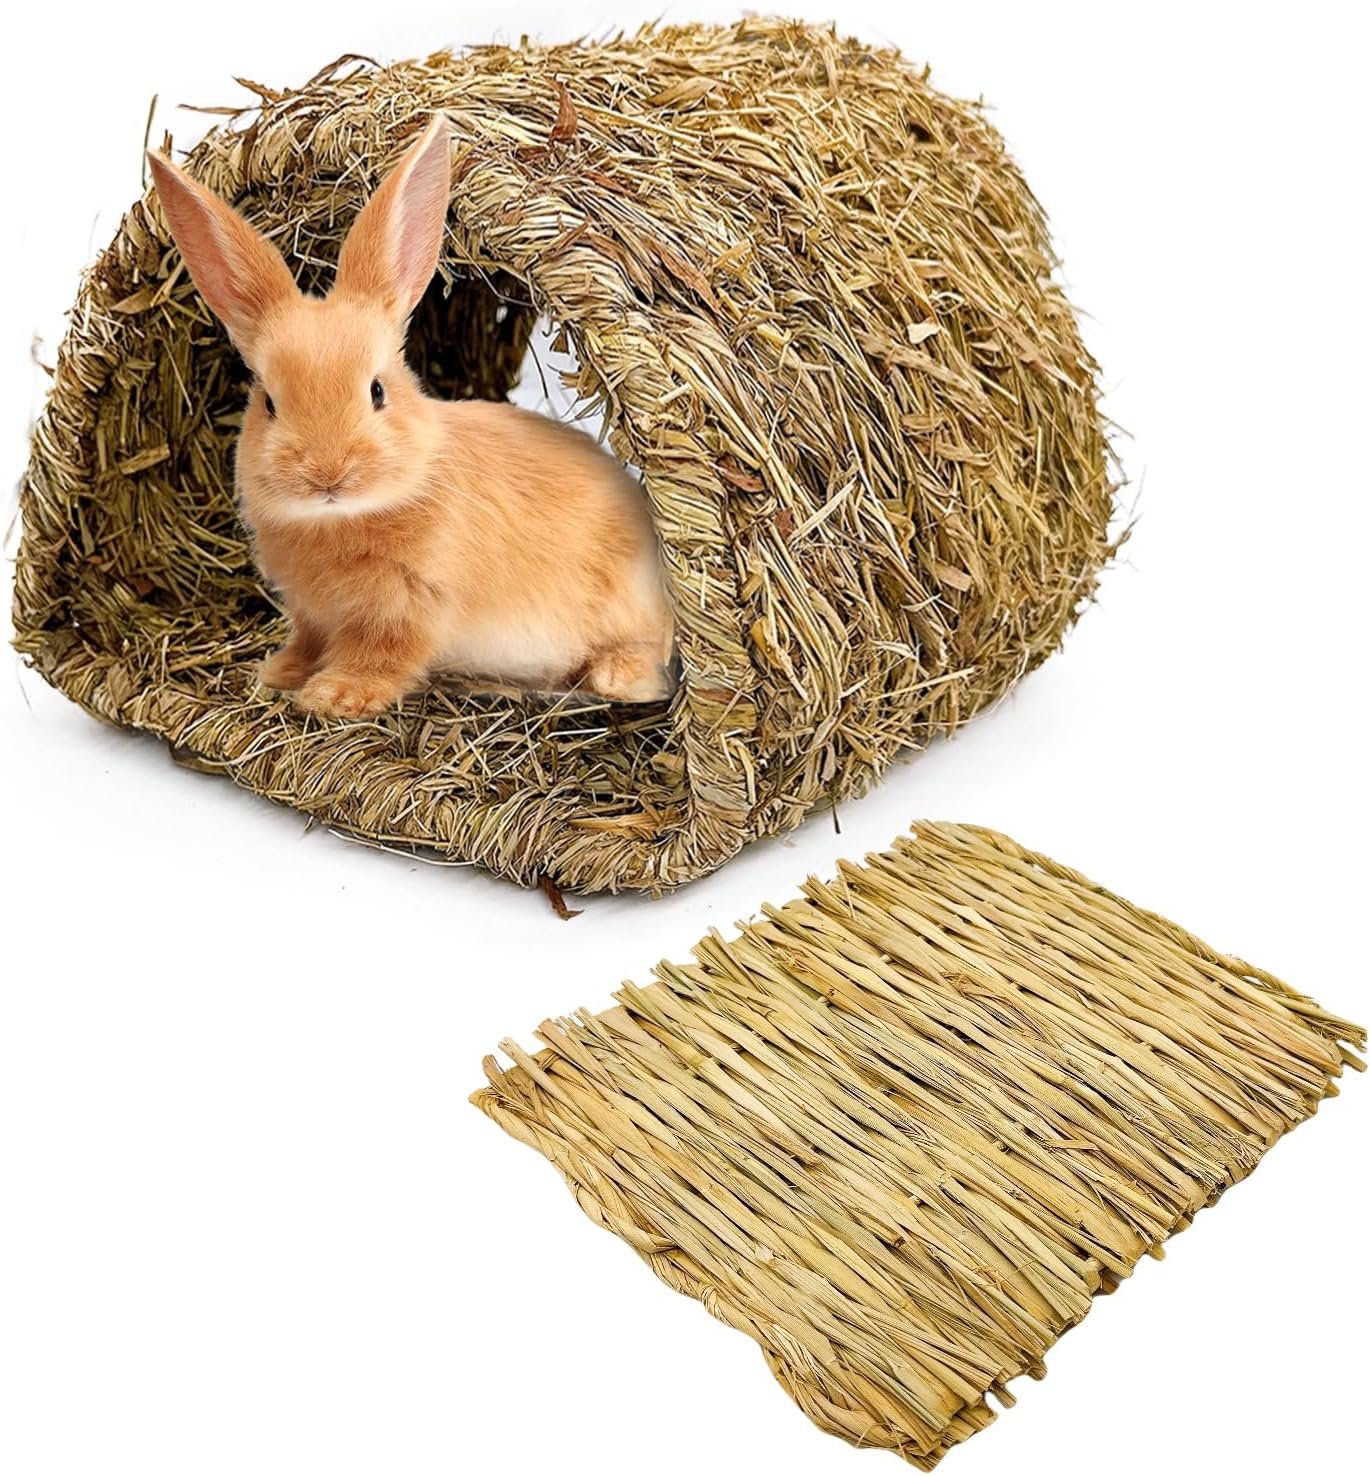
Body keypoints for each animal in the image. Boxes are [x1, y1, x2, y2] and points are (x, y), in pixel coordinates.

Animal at [145, 117, 676, 718]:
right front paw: (281, 672)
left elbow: (383, 653)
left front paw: (334, 695)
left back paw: (613, 678)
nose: (328, 475)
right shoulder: (311, 612)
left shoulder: (409, 604)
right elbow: (309, 639)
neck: (344, 517)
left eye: (378, 391)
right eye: (269, 403)